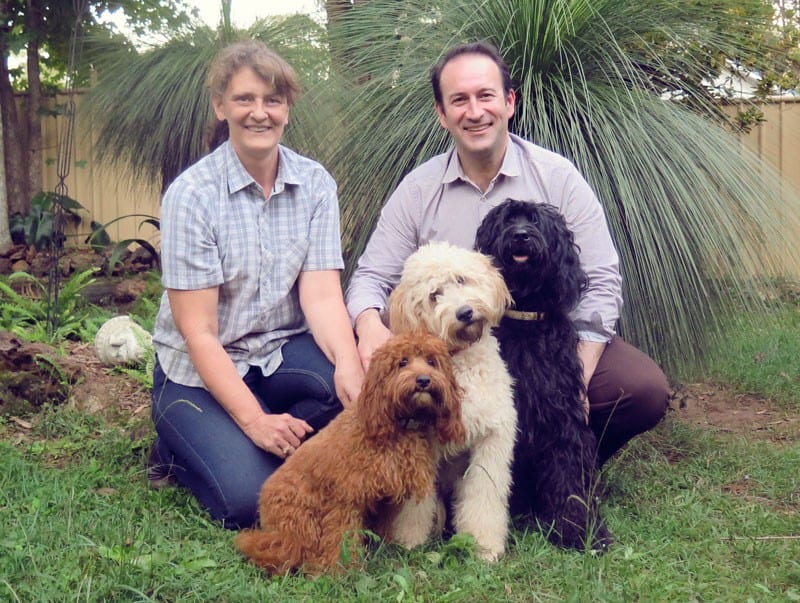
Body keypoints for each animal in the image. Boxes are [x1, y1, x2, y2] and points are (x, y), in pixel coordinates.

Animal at [233, 332, 462, 580]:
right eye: (402, 362)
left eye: (431, 362)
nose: (423, 380)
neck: (400, 427)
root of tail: (264, 505)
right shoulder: (344, 499)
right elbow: (340, 539)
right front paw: (339, 571)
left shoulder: (388, 498)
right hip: (300, 521)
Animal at [388, 241, 520, 560]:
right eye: (434, 295)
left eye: (461, 280)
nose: (465, 312)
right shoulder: (421, 446)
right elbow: (415, 504)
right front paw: (409, 540)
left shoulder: (492, 440)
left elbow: (484, 496)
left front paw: (485, 545)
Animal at [476, 199, 612, 552]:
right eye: (507, 220)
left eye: (536, 221)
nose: (521, 236)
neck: (524, 318)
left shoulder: (563, 415)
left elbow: (569, 475)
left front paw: (580, 530)